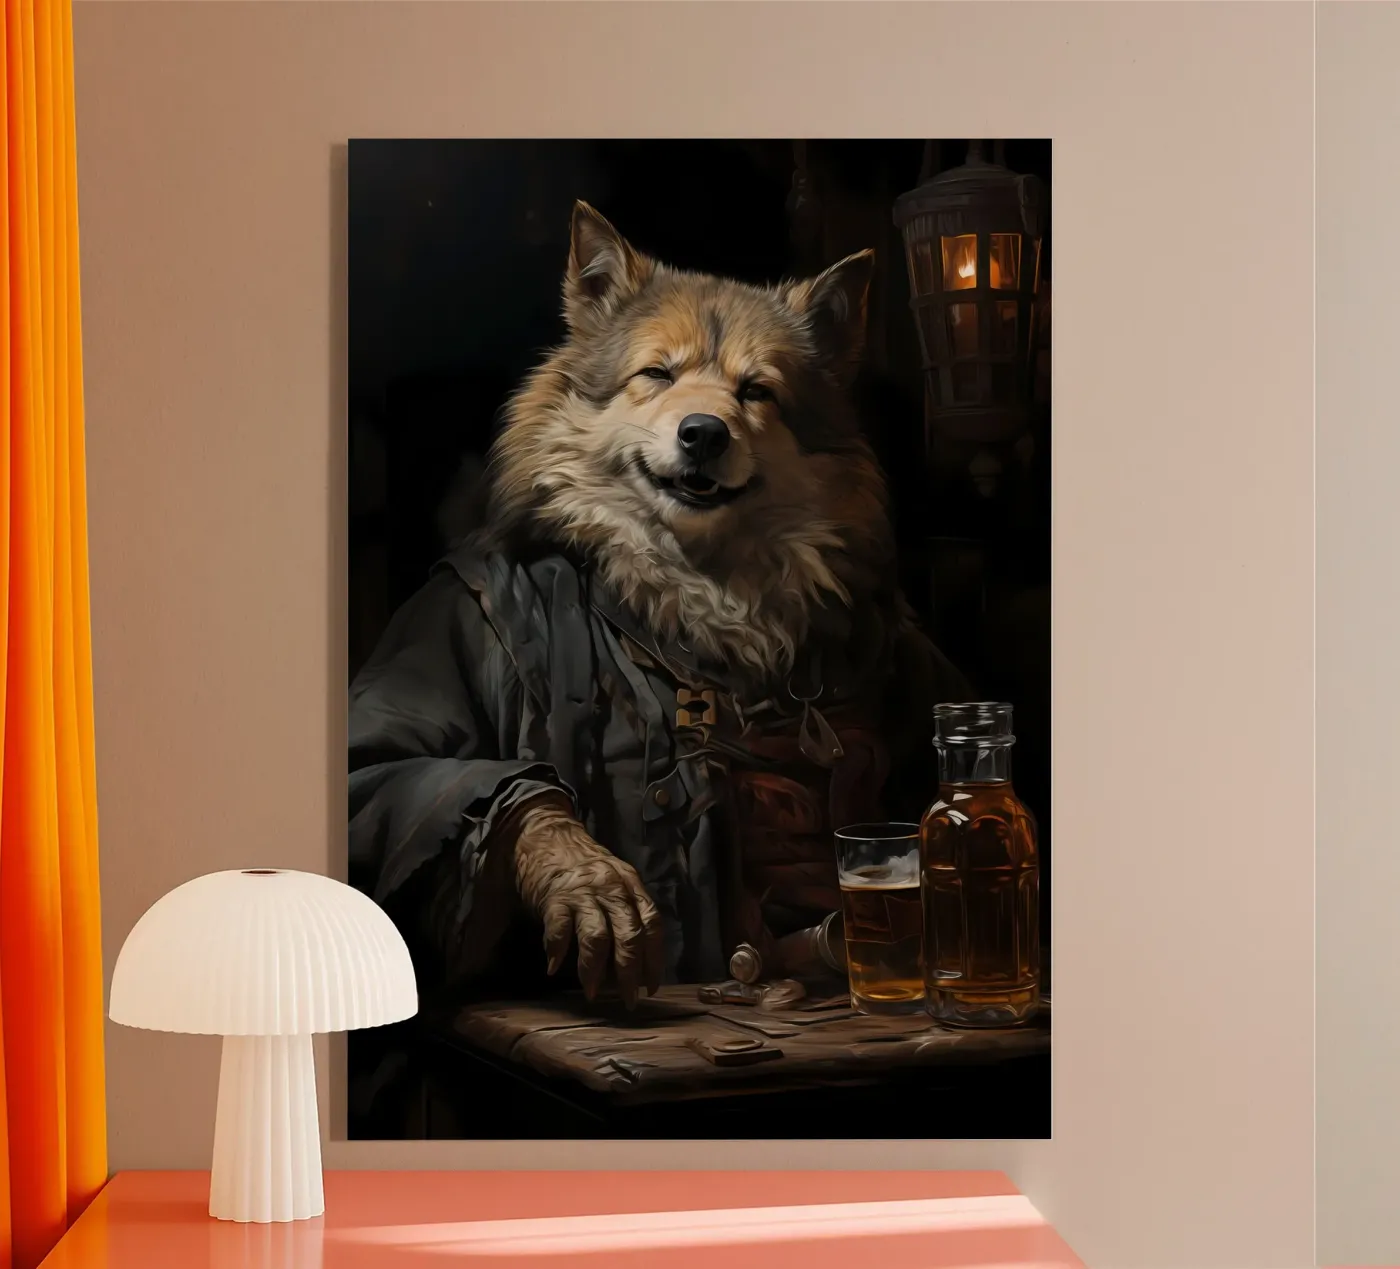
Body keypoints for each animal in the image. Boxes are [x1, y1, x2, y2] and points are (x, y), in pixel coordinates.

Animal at [349, 202, 970, 1010]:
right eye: (657, 374)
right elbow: (394, 764)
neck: (703, 597)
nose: (703, 433)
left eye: (756, 391)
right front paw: (581, 876)